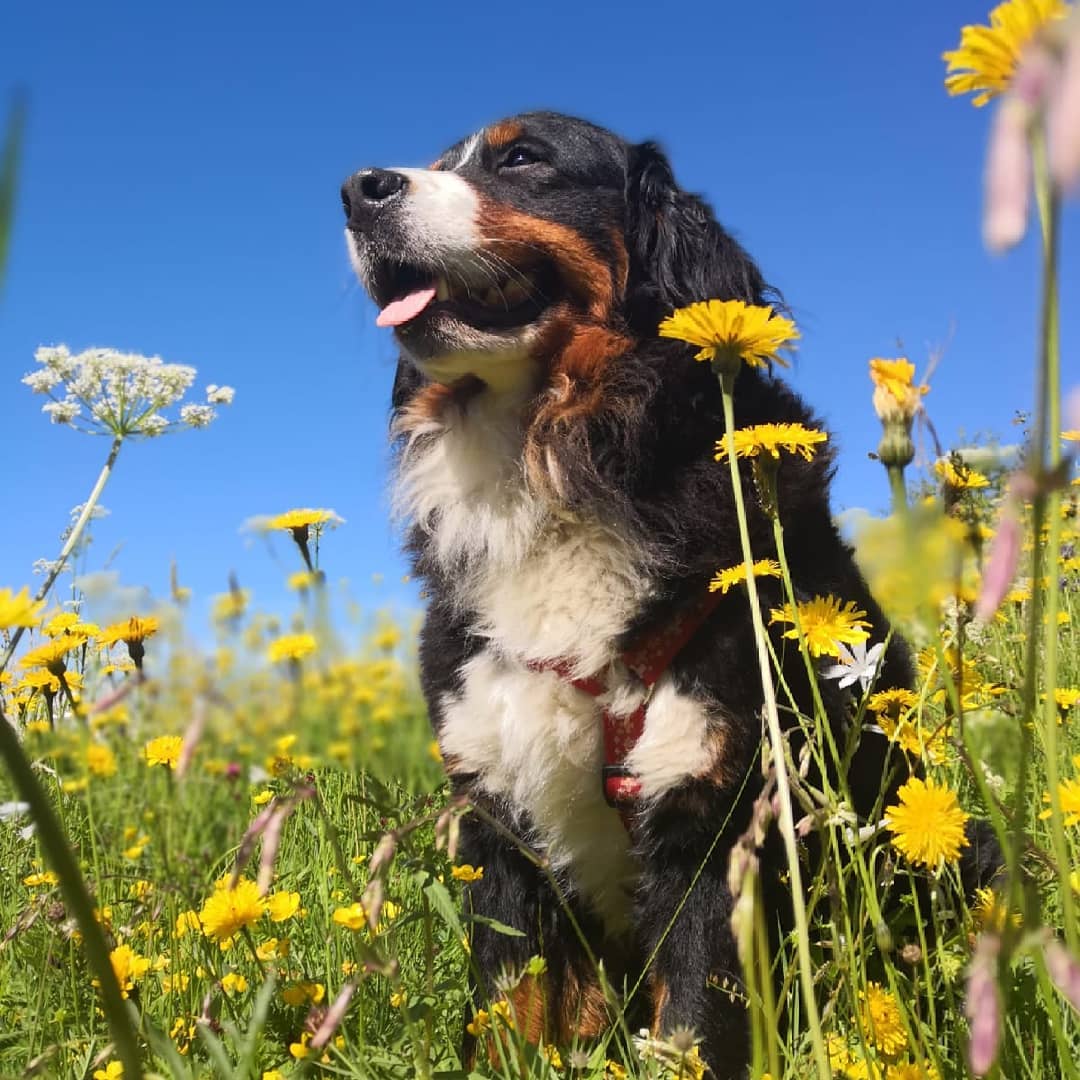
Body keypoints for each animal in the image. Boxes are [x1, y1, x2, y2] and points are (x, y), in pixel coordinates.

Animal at [345, 113, 993, 1075]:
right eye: (434, 163)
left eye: (523, 158)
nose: (359, 190)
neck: (555, 457)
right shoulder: (499, 825)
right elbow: (507, 1010)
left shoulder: (713, 816)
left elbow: (691, 1023)